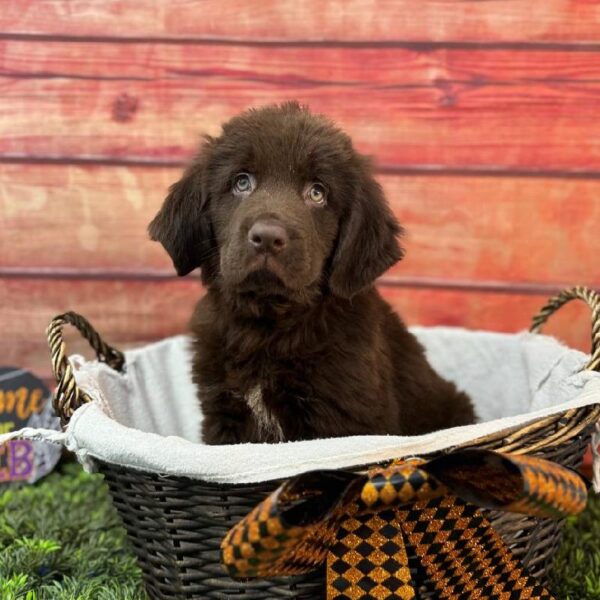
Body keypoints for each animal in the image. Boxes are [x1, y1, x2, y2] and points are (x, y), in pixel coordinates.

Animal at [149, 102, 474, 446]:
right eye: (241, 182)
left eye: (317, 193)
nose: (268, 237)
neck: (268, 325)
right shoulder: (223, 416)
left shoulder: (345, 417)